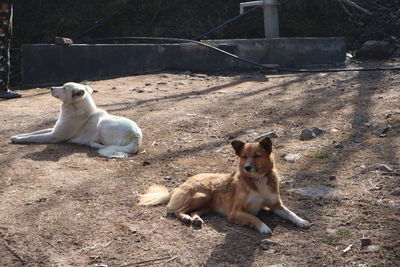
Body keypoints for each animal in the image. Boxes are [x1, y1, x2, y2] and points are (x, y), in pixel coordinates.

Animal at [10, 82, 143, 158]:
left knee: (107, 146)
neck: (74, 108)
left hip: (103, 123)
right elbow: (34, 132)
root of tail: (137, 136)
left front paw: (18, 139)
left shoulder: (54, 136)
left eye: (63, 88)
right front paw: (17, 136)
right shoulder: (54, 129)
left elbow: (33, 137)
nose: (51, 88)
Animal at [138, 138, 310, 234]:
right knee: (178, 210)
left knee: (194, 212)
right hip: (202, 195)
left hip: (207, 204)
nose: (247, 167)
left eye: (257, 156)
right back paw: (185, 217)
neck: (257, 181)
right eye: (244, 156)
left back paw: (197, 219)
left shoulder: (276, 205)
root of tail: (182, 183)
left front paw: (301, 221)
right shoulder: (235, 212)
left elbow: (290, 213)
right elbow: (253, 217)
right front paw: (263, 227)